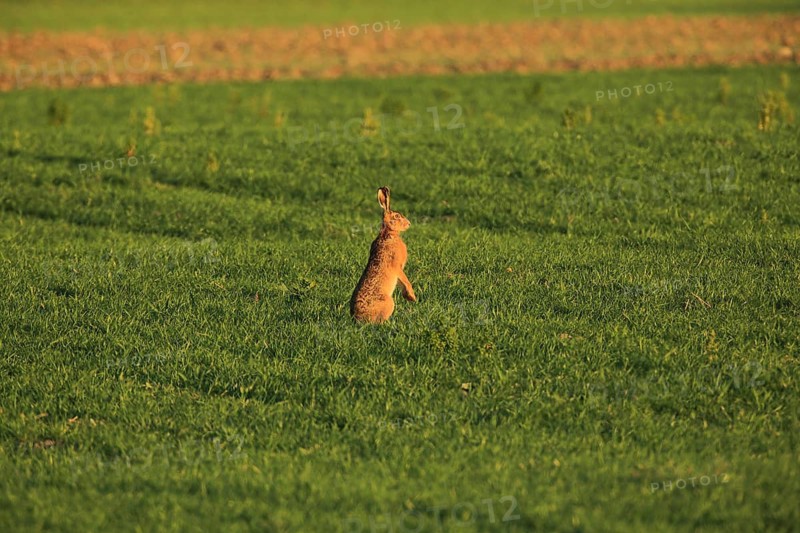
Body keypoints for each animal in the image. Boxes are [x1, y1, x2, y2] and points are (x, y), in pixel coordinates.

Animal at [350, 186, 417, 323]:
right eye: (397, 216)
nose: (409, 223)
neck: (389, 233)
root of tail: (357, 317)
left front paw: (407, 297)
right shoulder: (397, 266)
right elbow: (405, 280)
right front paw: (412, 297)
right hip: (389, 302)